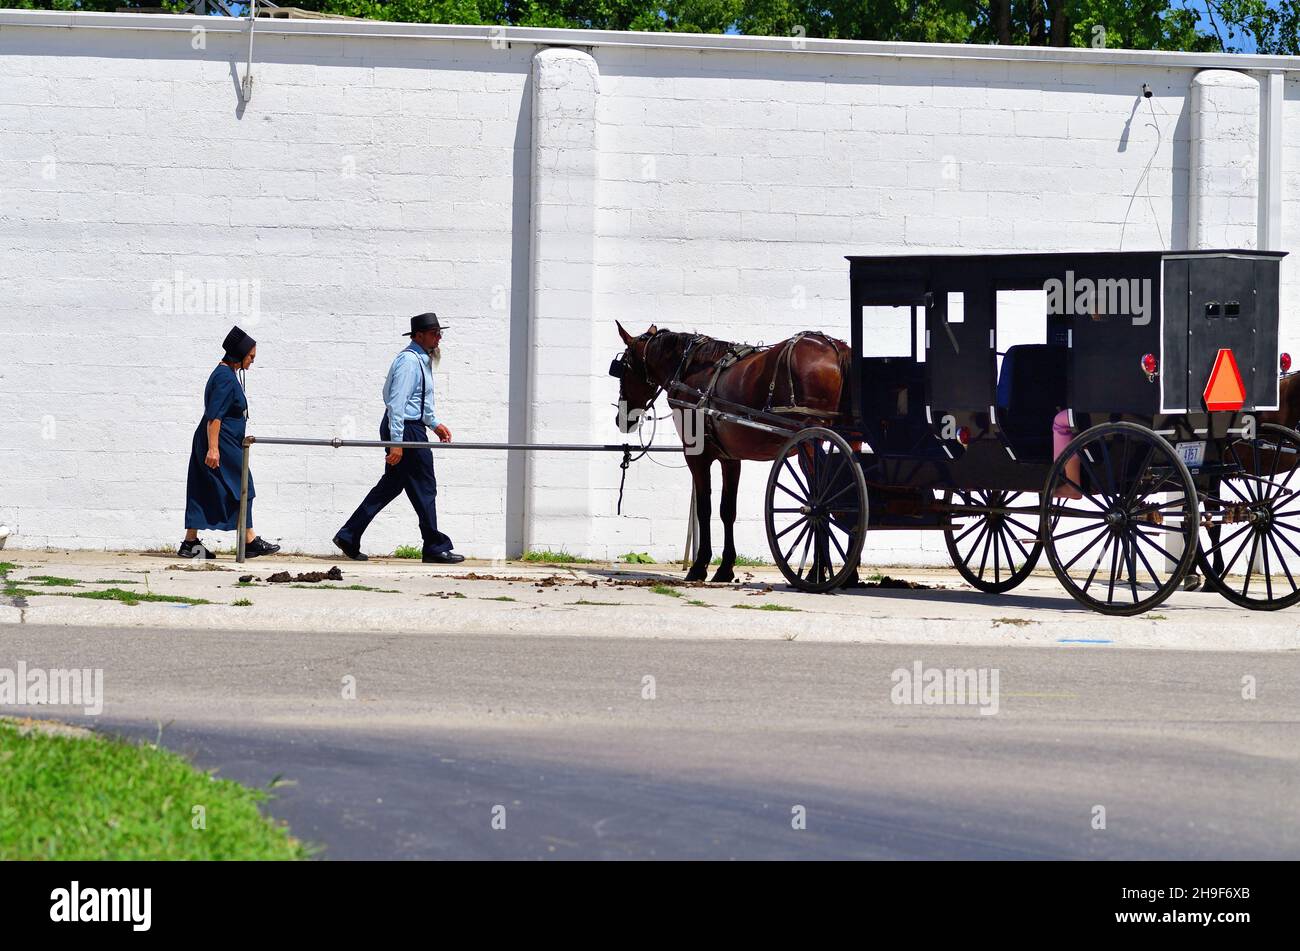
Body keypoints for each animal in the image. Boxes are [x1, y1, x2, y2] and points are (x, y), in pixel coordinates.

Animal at [611, 323, 852, 582]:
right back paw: (849, 576)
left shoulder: (697, 455)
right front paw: (725, 567)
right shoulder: (730, 459)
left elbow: (704, 509)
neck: (691, 370)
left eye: (622, 368)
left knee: (825, 504)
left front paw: (699, 566)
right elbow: (727, 510)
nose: (621, 419)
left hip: (809, 445)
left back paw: (817, 571)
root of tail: (836, 348)